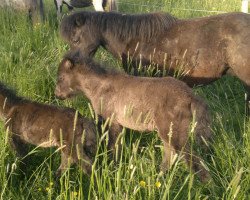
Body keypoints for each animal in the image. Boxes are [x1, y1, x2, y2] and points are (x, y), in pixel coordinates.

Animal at [55, 50, 213, 181]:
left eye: (61, 78)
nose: (57, 95)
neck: (98, 86)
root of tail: (191, 96)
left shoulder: (110, 120)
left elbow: (112, 145)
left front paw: (113, 168)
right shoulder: (118, 124)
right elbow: (117, 145)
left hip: (174, 133)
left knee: (192, 159)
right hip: (169, 132)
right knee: (170, 155)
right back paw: (158, 178)